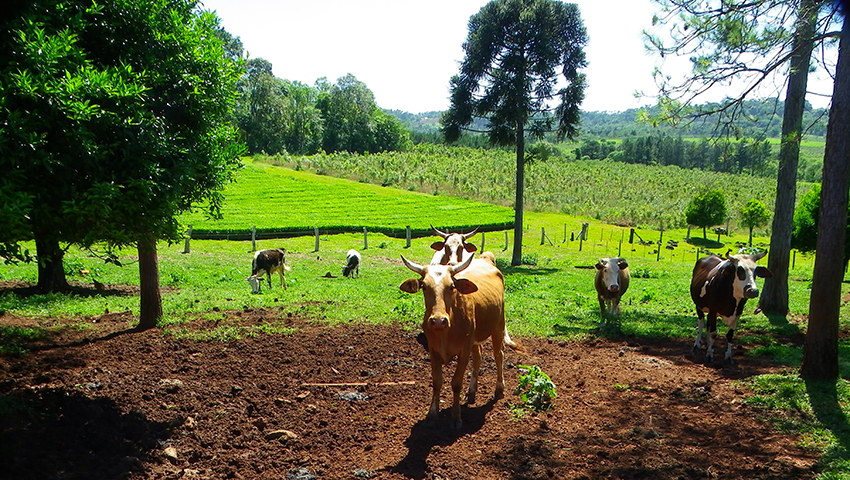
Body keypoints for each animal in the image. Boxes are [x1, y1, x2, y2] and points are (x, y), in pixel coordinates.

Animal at [399, 251, 522, 429]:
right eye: (424, 286)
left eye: (452, 286)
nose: (438, 320)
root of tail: (486, 259)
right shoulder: (433, 349)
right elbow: (437, 381)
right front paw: (432, 415)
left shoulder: (464, 350)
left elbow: (456, 383)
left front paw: (456, 417)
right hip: (475, 338)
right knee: (478, 357)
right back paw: (471, 392)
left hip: (498, 325)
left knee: (499, 355)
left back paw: (499, 389)